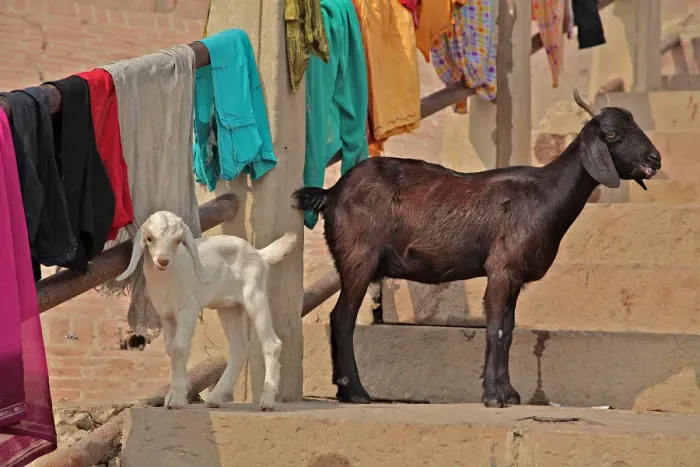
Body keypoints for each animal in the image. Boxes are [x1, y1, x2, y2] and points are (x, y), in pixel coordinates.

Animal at [116, 211, 297, 411]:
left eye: (178, 240)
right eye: (149, 238)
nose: (163, 261)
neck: (168, 277)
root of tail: (258, 254)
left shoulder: (187, 309)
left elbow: (179, 348)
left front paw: (177, 399)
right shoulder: (167, 315)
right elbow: (171, 350)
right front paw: (174, 394)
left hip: (255, 296)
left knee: (272, 344)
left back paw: (267, 401)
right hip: (230, 308)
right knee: (240, 347)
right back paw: (216, 397)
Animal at [292, 89, 661, 408]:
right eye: (611, 134)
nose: (654, 159)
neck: (544, 194)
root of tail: (332, 192)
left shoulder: (513, 277)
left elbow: (508, 330)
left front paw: (509, 393)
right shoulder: (502, 268)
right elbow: (495, 327)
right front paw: (494, 396)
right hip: (358, 258)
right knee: (342, 318)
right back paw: (355, 391)